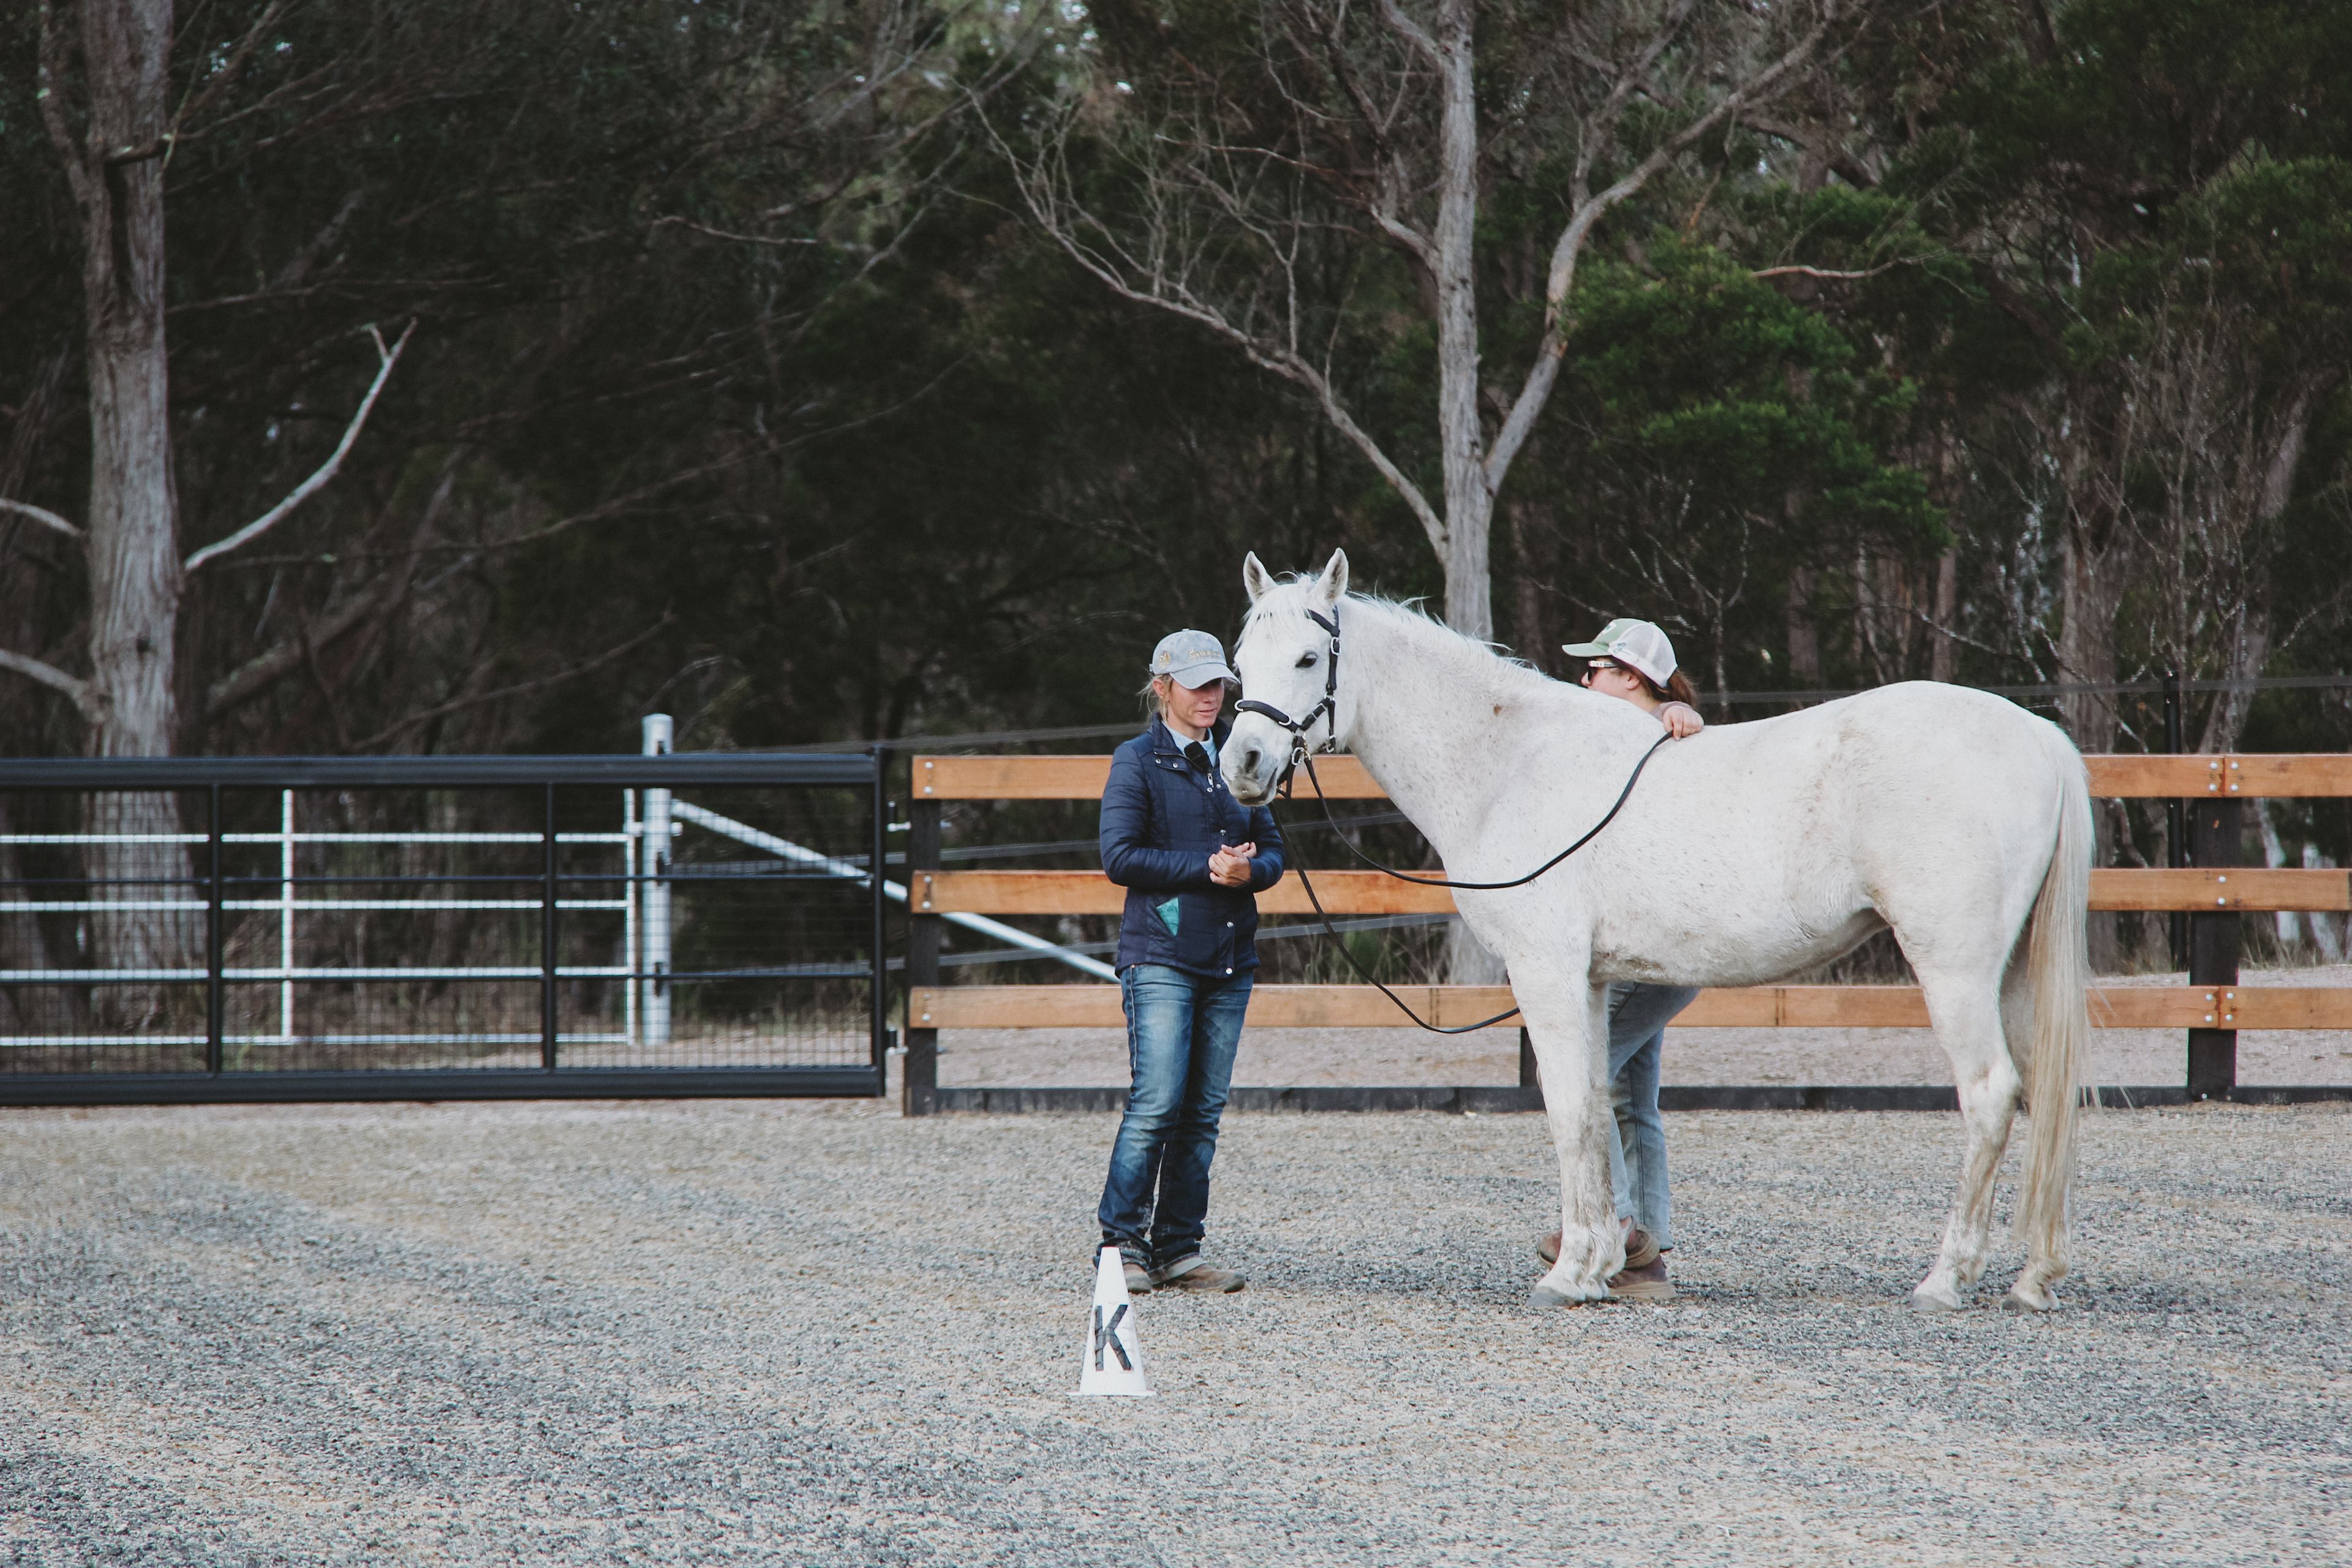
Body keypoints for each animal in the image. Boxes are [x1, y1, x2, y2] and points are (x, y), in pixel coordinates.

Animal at [1221, 549, 2091, 1313]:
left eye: (1307, 657)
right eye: (1238, 659)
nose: (1244, 762)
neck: (1510, 764)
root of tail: (2039, 736)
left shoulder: (1546, 970)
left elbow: (1568, 1109)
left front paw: (1568, 1275)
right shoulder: (1593, 979)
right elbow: (1596, 1105)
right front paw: (1598, 1263)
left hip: (1955, 968)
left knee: (1990, 1093)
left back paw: (1946, 1280)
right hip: (2013, 970)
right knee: (2045, 1091)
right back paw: (2033, 1277)